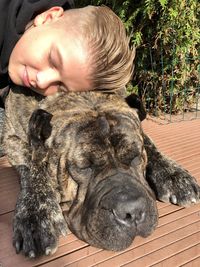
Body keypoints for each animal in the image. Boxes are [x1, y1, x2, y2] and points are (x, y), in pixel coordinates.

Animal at [3, 87, 200, 258]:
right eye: (83, 167)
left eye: (136, 156)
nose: (133, 211)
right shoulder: (10, 138)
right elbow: (31, 162)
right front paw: (36, 214)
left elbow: (149, 142)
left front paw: (175, 176)